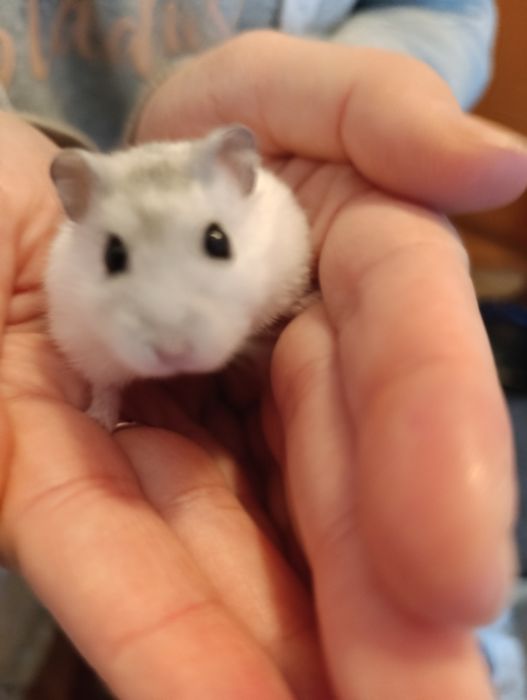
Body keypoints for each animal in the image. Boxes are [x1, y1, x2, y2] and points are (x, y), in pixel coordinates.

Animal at [44, 125, 312, 429]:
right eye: (112, 257)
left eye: (218, 241)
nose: (172, 352)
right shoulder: (85, 342)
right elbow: (106, 387)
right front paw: (100, 422)